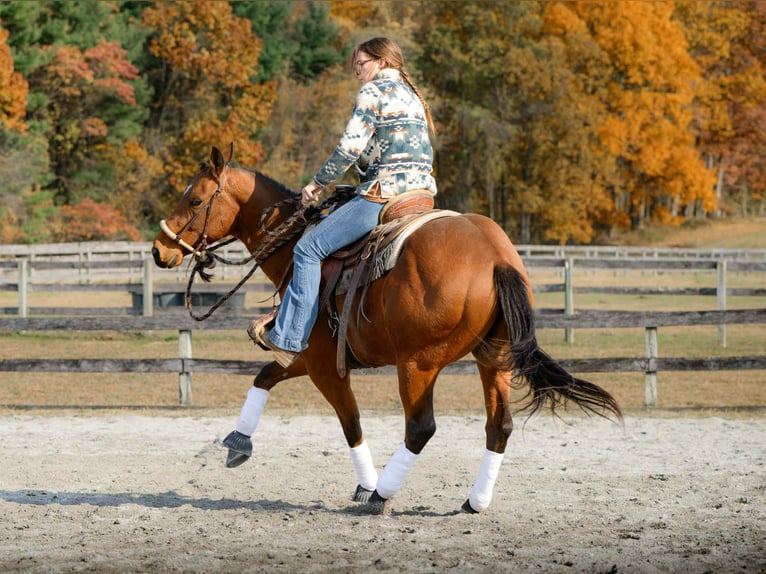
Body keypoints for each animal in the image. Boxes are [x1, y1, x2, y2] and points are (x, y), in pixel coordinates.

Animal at [151, 143, 622, 514]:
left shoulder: (324, 364)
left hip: (418, 364)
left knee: (421, 427)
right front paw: (238, 442)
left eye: (196, 200)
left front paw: (366, 486)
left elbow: (351, 423)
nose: (159, 250)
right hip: (494, 358)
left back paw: (383, 495)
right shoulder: (308, 356)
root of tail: (495, 257)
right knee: (499, 425)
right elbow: (265, 375)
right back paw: (475, 501)